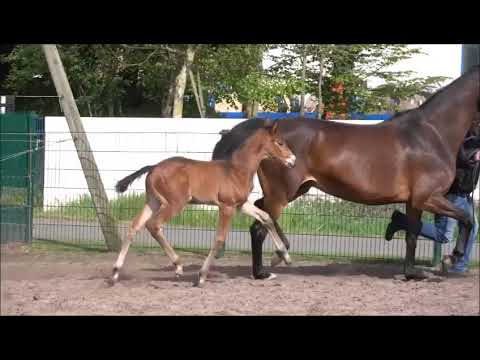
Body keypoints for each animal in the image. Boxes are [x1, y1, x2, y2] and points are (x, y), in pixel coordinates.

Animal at [112, 121, 296, 286]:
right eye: (280, 142)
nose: (293, 160)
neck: (237, 169)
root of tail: (153, 167)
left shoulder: (241, 204)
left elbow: (266, 217)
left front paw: (285, 256)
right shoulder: (227, 206)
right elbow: (220, 238)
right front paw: (202, 276)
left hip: (153, 202)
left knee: (134, 226)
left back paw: (115, 272)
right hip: (175, 203)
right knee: (153, 225)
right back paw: (178, 265)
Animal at [212, 64, 478, 280]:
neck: (432, 133)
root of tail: (266, 130)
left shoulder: (415, 201)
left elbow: (412, 236)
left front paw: (412, 273)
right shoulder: (429, 197)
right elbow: (468, 218)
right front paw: (452, 258)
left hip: (295, 189)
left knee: (260, 212)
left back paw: (280, 253)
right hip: (282, 193)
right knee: (259, 227)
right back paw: (263, 270)